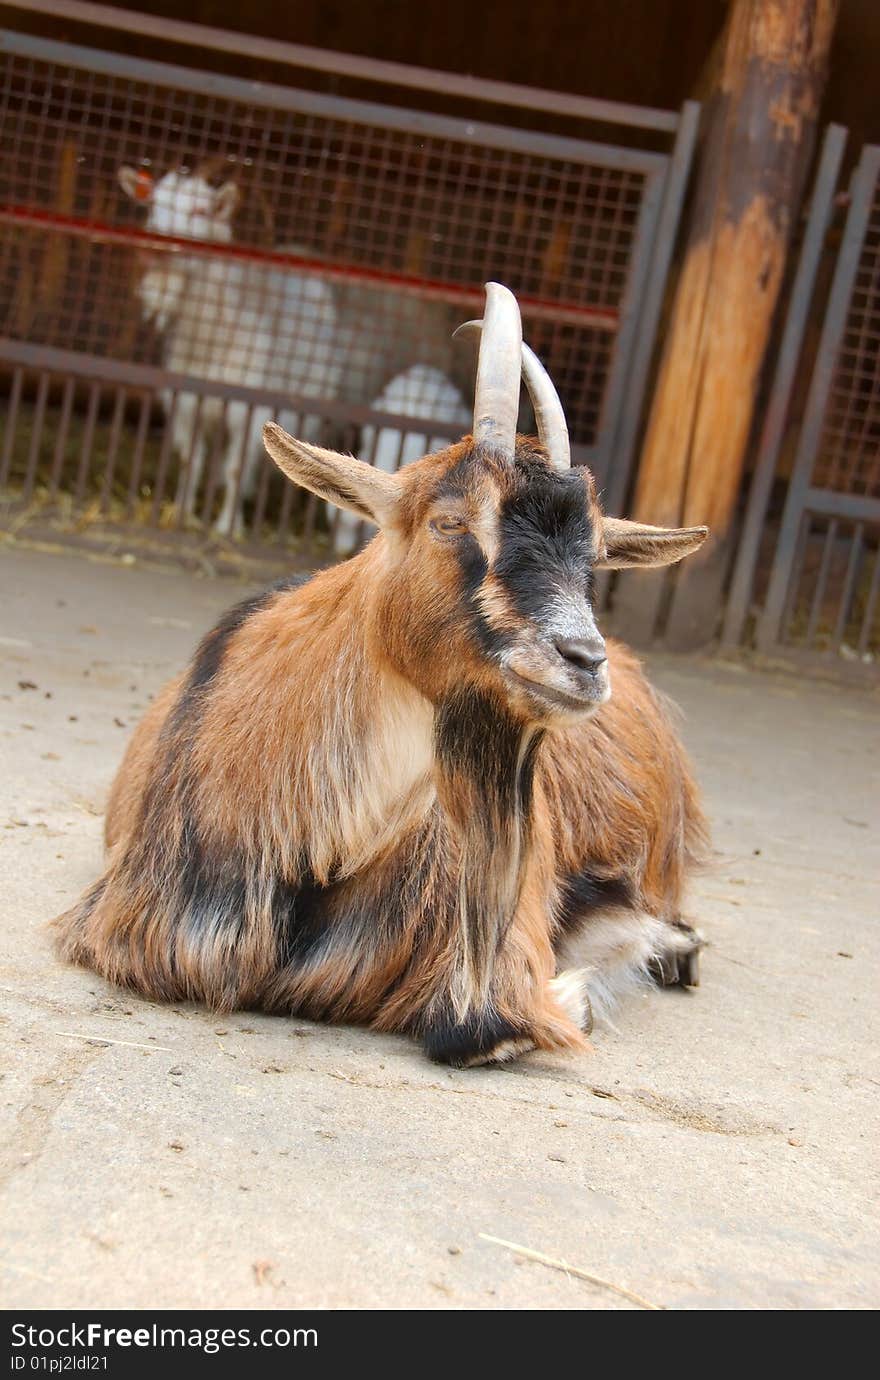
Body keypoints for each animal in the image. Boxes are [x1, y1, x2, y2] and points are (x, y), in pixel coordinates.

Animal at [56, 282, 711, 1065]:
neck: (329, 848)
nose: (584, 660)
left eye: (596, 556)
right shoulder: (143, 930)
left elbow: (480, 1028)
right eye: (449, 521)